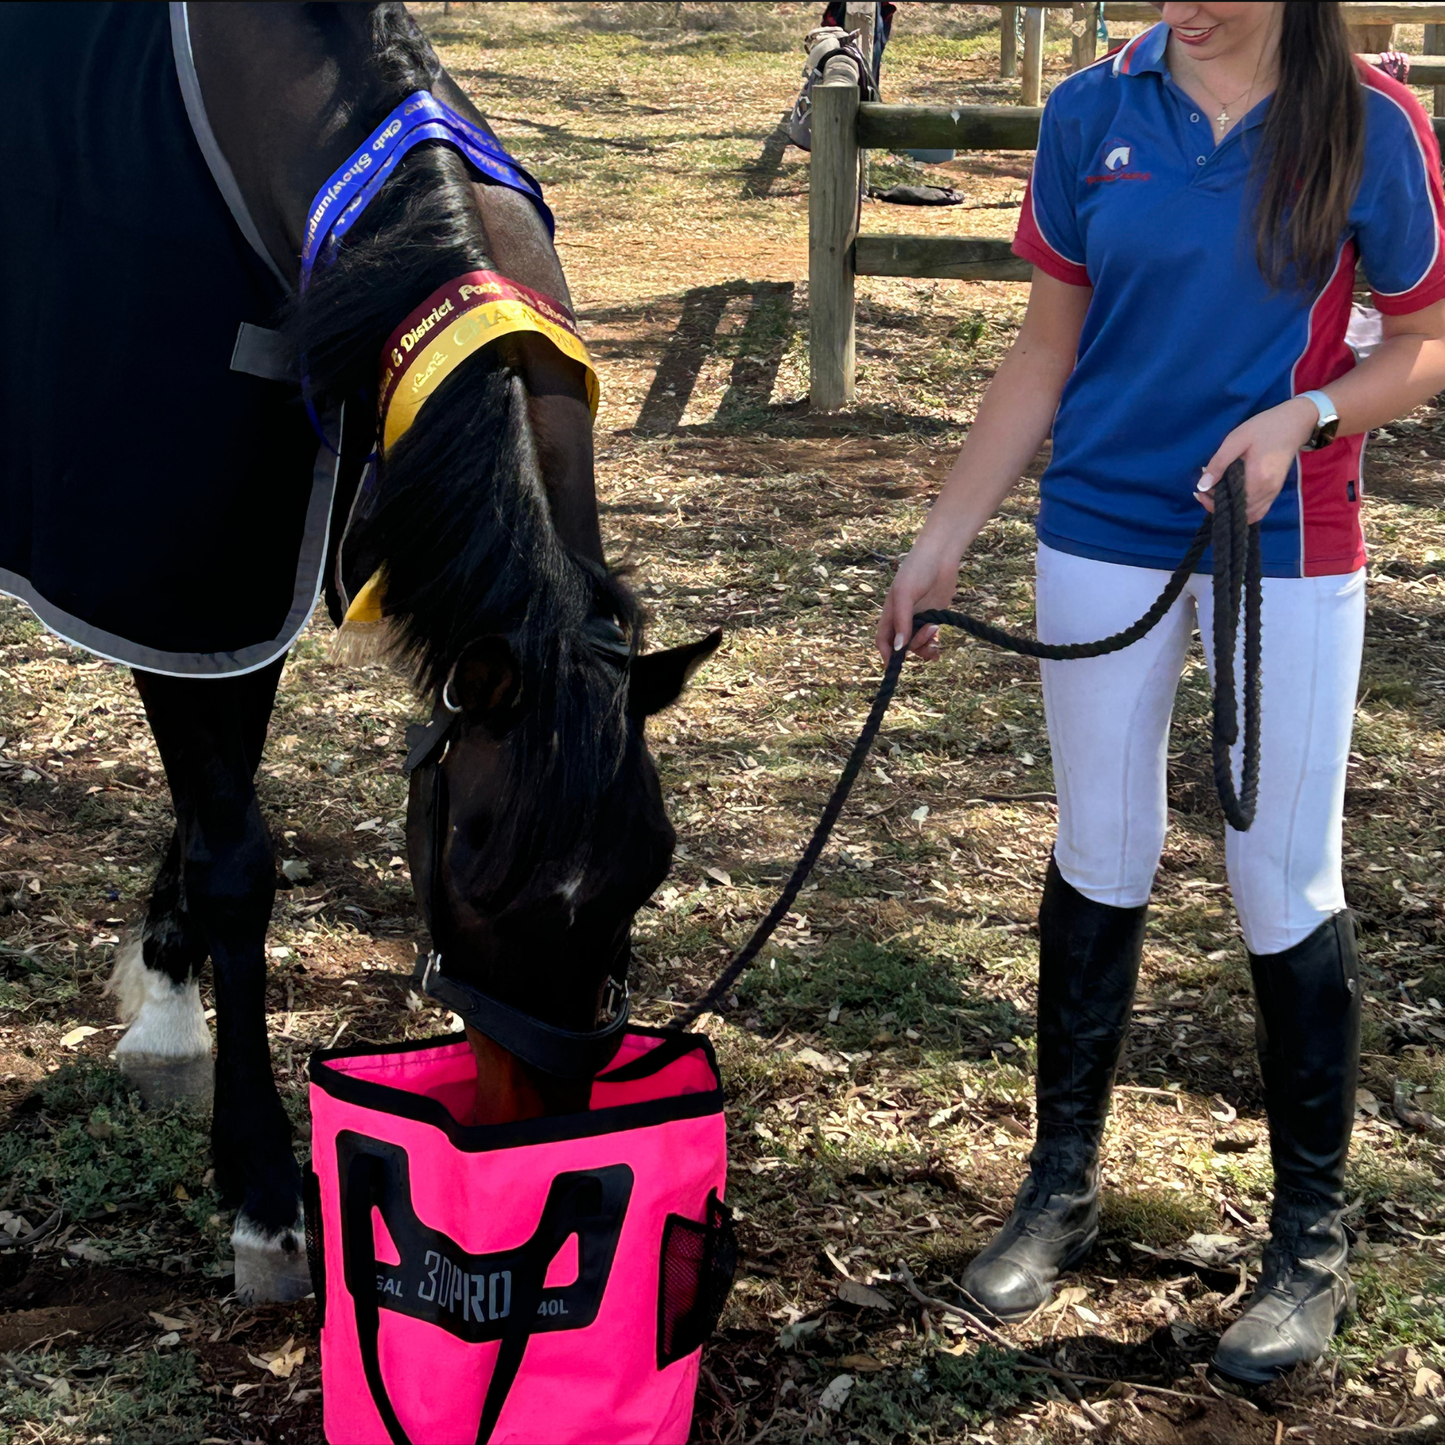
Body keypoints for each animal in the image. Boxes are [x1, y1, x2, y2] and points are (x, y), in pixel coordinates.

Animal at [3, 1, 717, 1301]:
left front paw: (165, 998)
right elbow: (235, 859)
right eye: (477, 869)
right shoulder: (178, 586)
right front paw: (262, 1189)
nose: (539, 1134)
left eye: (650, 865)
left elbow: (209, 809)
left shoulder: (252, 579)